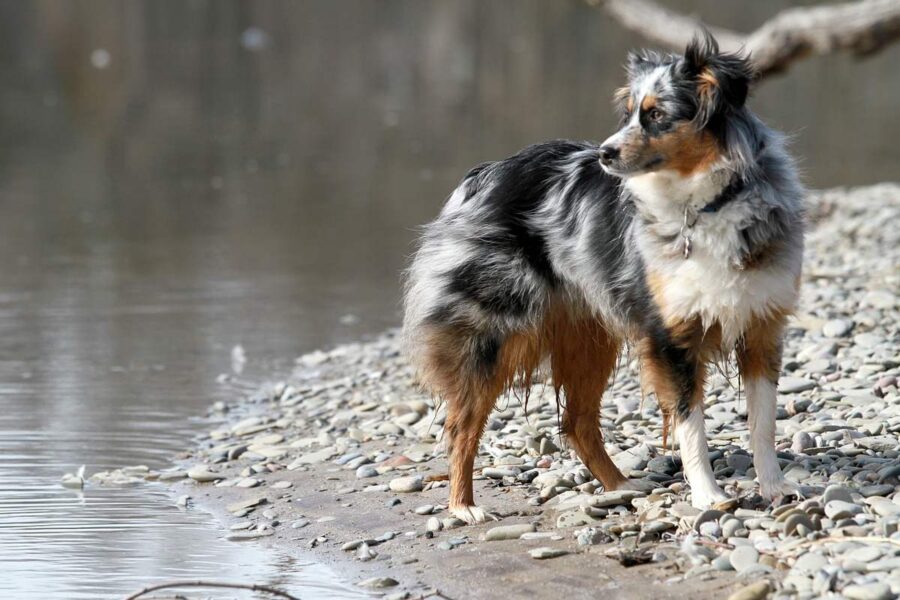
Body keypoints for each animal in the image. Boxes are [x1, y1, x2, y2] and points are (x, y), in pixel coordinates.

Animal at [404, 32, 804, 524]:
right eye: (629, 112)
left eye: (656, 114)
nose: (604, 153)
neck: (706, 204)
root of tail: (483, 175)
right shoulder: (671, 337)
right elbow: (691, 425)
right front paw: (709, 496)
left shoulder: (762, 325)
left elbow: (763, 423)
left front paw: (775, 488)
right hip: (492, 335)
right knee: (462, 424)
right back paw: (464, 506)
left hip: (588, 337)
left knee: (576, 422)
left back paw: (622, 486)